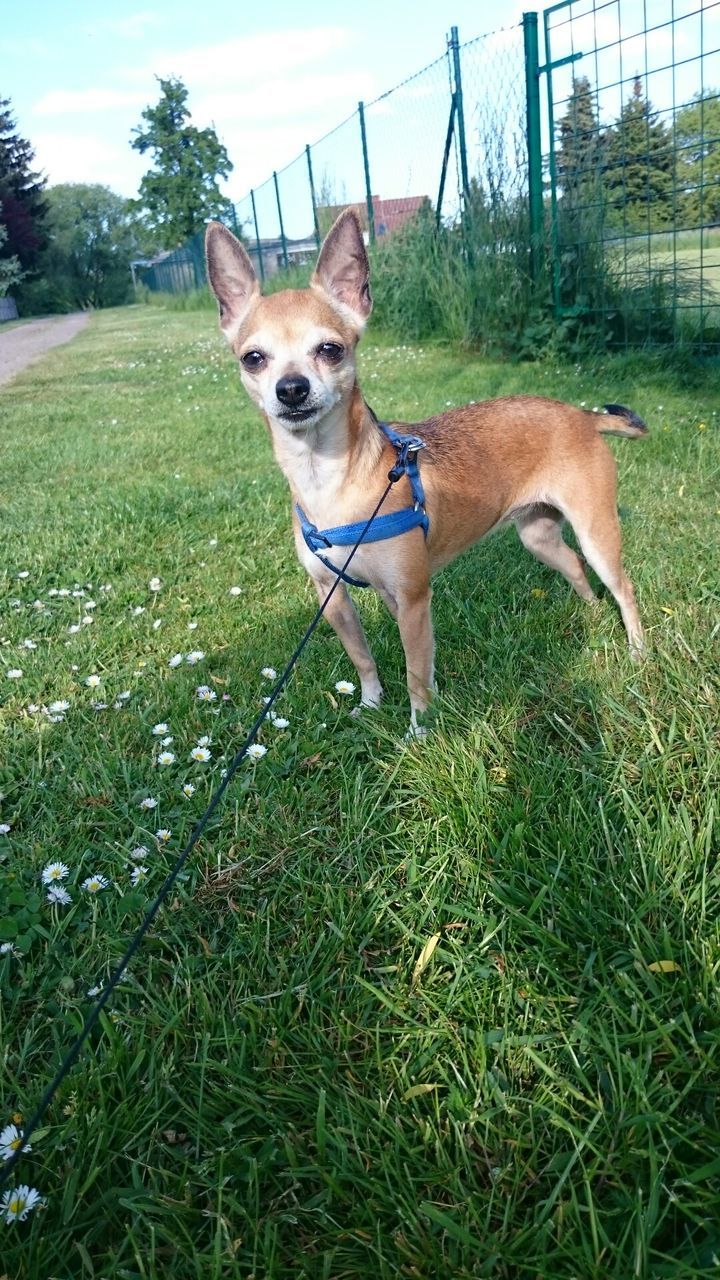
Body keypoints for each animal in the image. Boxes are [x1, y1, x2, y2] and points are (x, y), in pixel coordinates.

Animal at [206, 209, 645, 732]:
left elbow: (417, 673)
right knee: (578, 569)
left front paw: (418, 732)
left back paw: (639, 652)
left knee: (623, 587)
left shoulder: (412, 600)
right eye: (253, 359)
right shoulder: (333, 598)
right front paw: (370, 705)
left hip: (597, 534)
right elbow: (364, 658)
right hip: (538, 537)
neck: (327, 479)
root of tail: (582, 416)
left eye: (330, 350)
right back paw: (594, 619)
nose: (291, 389)